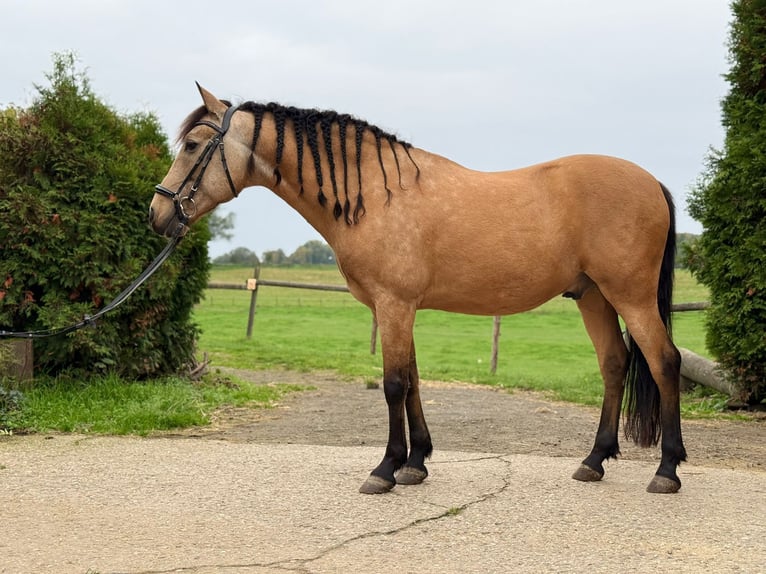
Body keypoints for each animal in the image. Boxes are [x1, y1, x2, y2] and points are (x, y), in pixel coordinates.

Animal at [150, 85, 687, 495]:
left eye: (193, 146)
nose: (157, 214)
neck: (372, 194)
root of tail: (652, 182)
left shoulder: (393, 305)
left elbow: (392, 384)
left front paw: (385, 469)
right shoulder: (397, 309)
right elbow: (412, 380)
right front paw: (416, 463)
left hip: (630, 296)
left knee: (664, 362)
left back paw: (667, 470)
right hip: (593, 296)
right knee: (614, 363)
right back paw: (594, 461)